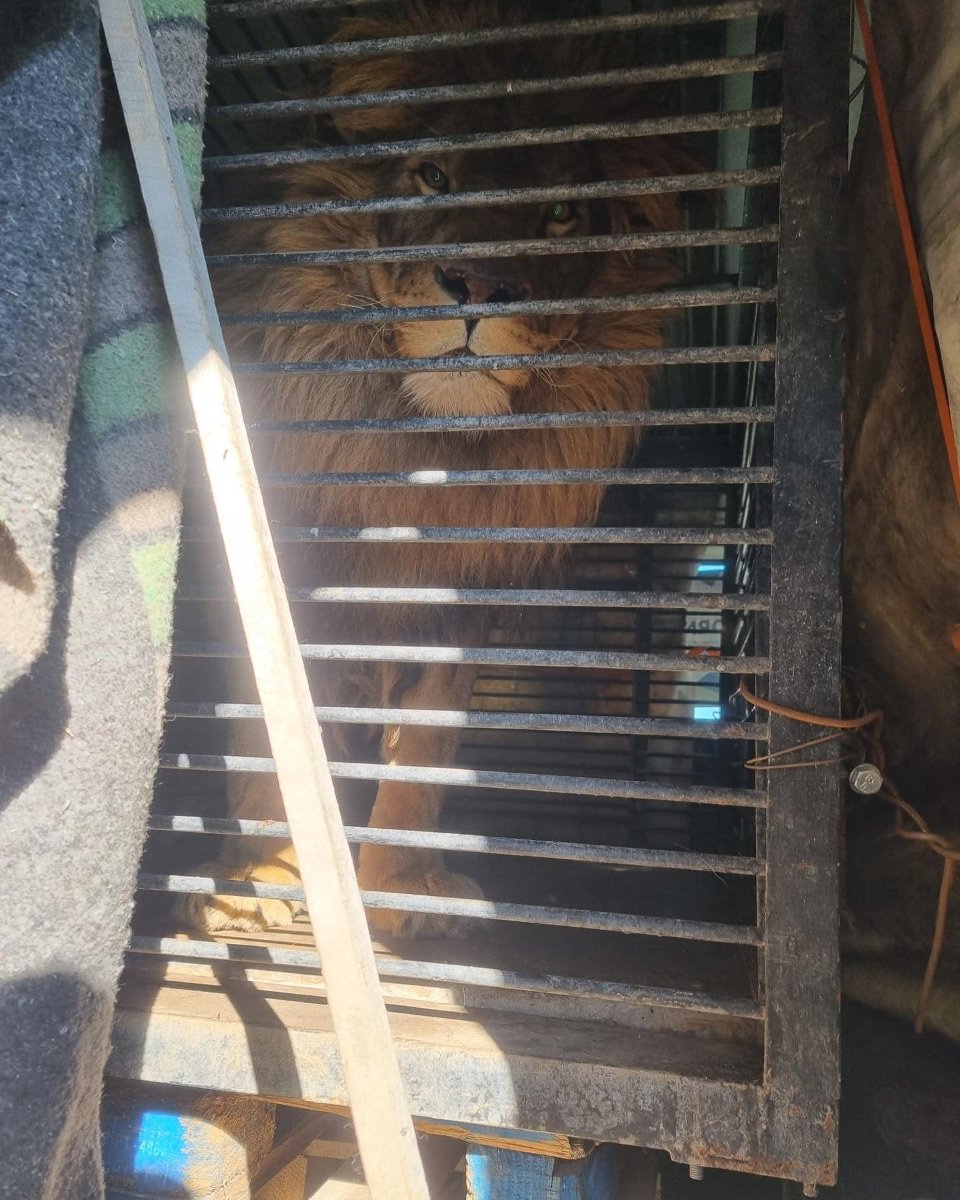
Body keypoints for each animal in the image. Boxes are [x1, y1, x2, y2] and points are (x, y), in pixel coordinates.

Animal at [180, 0, 689, 939]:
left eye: (561, 208)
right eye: (432, 176)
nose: (478, 286)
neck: (418, 459)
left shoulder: (458, 605)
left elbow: (423, 755)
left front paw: (401, 894)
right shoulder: (271, 587)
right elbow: (268, 732)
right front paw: (260, 883)